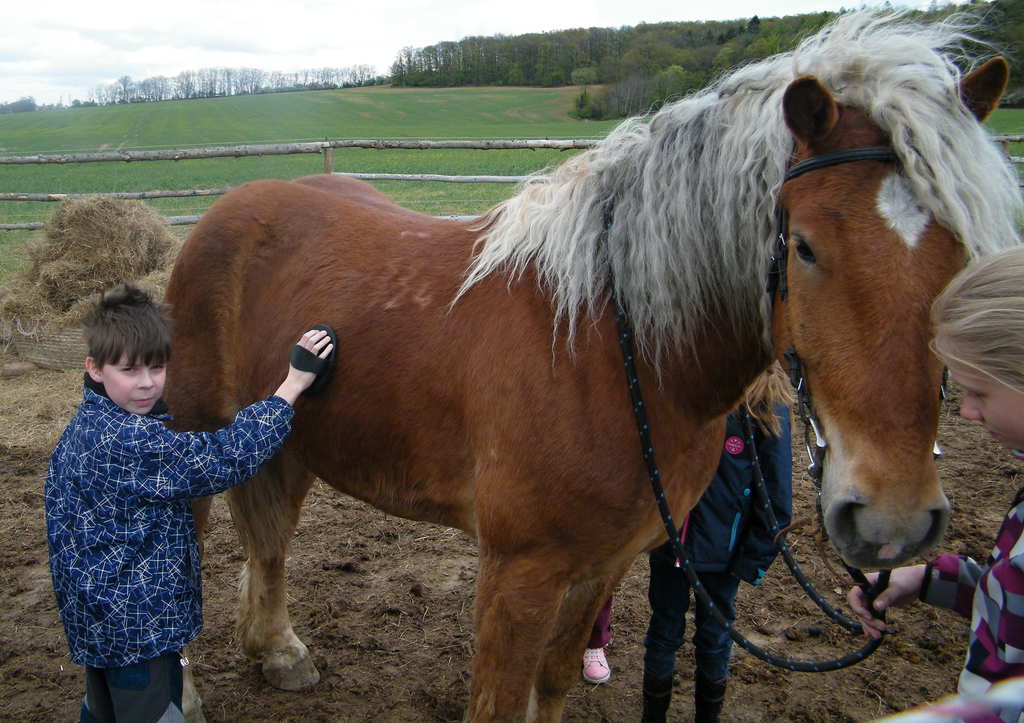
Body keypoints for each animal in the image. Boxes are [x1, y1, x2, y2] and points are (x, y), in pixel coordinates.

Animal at [163, 11, 1019, 720]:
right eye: (804, 245)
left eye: (964, 247)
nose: (892, 520)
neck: (613, 344)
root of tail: (228, 211)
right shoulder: (520, 570)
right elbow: (498, 702)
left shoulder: (607, 561)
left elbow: (554, 682)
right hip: (191, 428)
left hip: (290, 437)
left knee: (270, 538)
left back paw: (279, 651)